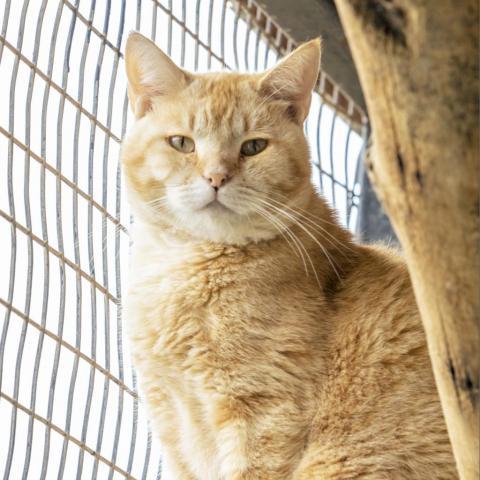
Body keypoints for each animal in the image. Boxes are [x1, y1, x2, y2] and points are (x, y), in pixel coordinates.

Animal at [121, 31, 458, 478]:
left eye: (253, 147)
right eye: (182, 143)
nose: (216, 177)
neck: (185, 266)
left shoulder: (265, 411)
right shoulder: (172, 419)